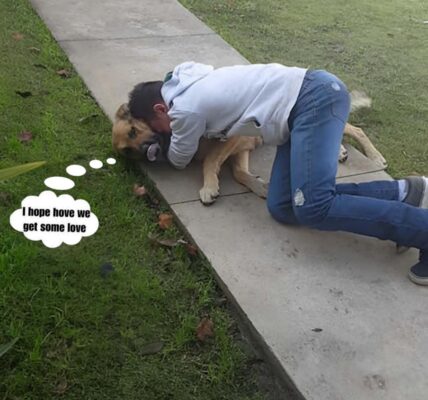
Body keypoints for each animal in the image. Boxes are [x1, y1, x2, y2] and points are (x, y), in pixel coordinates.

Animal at [112, 92, 386, 205]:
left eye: (134, 131)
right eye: (127, 150)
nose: (146, 151)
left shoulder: (235, 136)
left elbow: (211, 162)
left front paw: (209, 187)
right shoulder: (241, 149)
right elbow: (239, 173)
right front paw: (258, 185)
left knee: (355, 129)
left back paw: (374, 155)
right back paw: (339, 151)